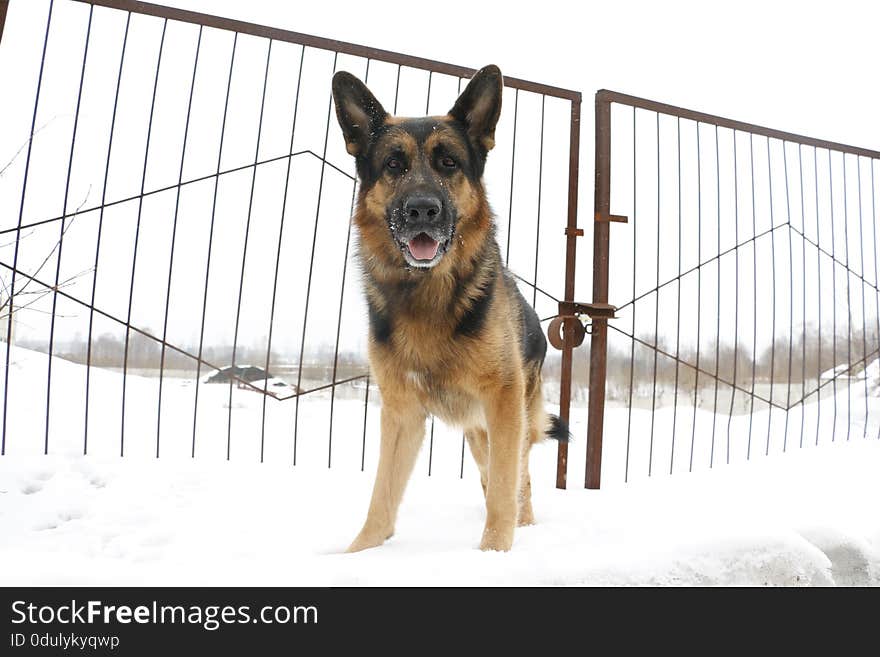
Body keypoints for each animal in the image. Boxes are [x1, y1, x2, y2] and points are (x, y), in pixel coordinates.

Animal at [332, 66, 572, 552]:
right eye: (394, 165)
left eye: (449, 163)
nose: (422, 209)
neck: (428, 294)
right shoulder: (401, 412)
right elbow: (381, 496)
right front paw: (358, 553)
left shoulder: (504, 403)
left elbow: (505, 489)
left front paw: (494, 554)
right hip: (479, 431)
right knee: (488, 473)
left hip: (510, 418)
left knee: (518, 480)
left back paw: (526, 527)